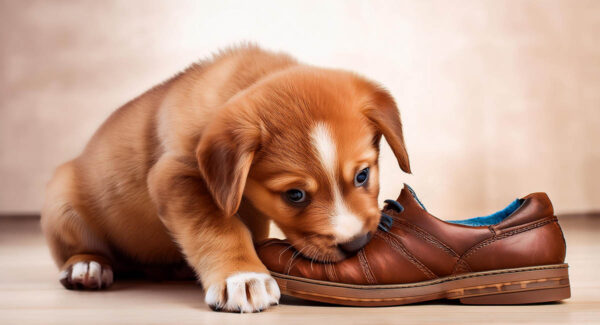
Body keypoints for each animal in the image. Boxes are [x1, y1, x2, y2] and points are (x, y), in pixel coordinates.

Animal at [39, 45, 410, 312]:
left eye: (363, 175)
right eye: (295, 195)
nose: (356, 244)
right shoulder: (177, 176)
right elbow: (219, 228)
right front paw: (244, 276)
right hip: (61, 203)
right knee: (82, 249)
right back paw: (87, 267)